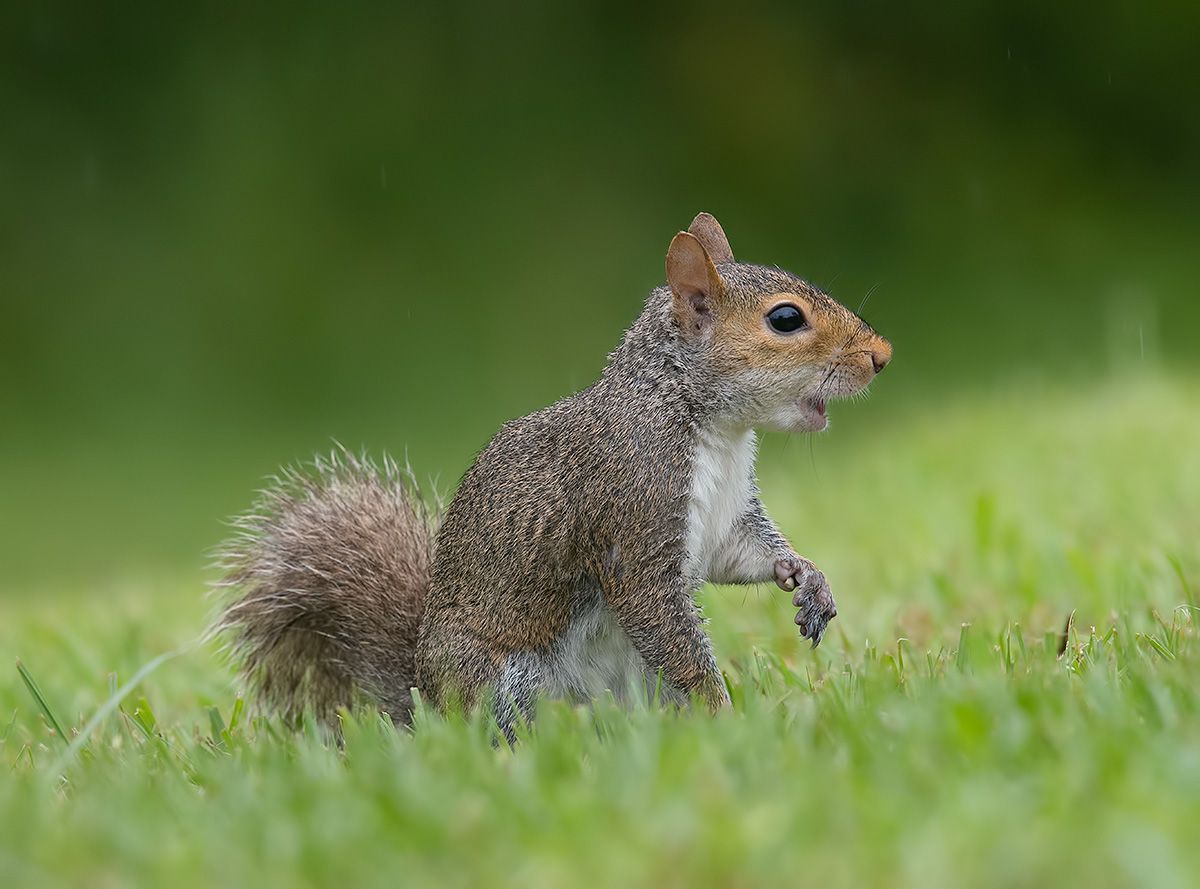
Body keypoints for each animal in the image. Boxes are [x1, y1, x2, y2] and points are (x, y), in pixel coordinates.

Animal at [218, 211, 892, 739]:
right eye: (786, 320)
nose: (881, 356)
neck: (710, 428)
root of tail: (427, 701)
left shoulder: (726, 519)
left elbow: (742, 554)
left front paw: (806, 579)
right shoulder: (632, 512)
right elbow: (660, 617)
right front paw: (725, 715)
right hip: (508, 682)